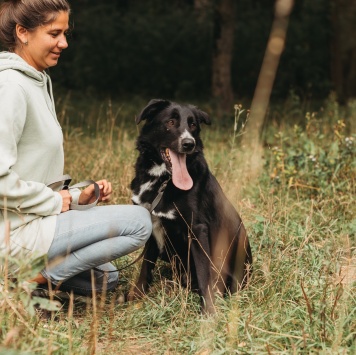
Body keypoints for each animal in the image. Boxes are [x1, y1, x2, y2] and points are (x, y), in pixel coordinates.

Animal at [129, 98, 252, 312]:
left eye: (193, 125)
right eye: (170, 122)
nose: (189, 144)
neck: (163, 181)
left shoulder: (197, 229)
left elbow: (204, 274)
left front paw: (208, 313)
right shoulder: (149, 223)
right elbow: (145, 266)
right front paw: (137, 297)